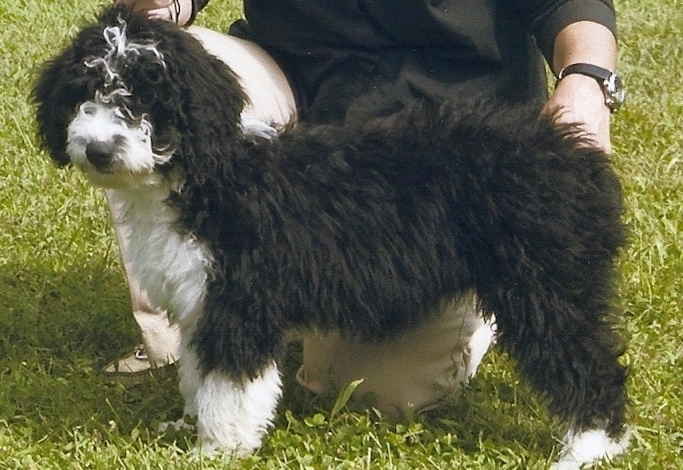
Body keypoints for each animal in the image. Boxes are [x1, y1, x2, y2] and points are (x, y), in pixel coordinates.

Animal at [33, 5, 632, 468]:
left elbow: (229, 385)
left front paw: (218, 448)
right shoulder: (200, 302)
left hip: (547, 288)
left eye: (143, 98)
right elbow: (198, 374)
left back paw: (589, 448)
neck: (203, 172)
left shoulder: (239, 302)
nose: (99, 149)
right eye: (86, 91)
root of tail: (568, 153)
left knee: (589, 363)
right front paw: (189, 425)